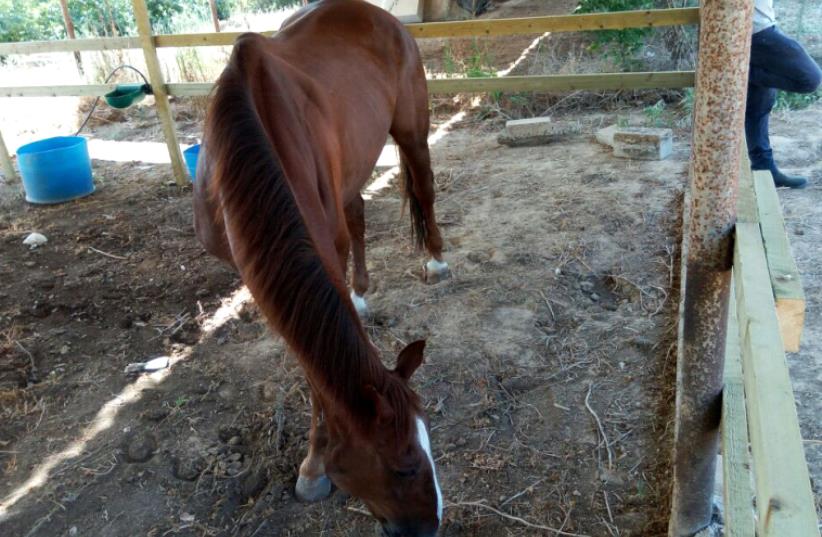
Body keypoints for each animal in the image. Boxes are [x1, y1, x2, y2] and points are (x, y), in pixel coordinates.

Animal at [192, 2, 450, 532]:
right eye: (405, 465)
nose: (429, 527)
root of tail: (379, 16)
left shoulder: (319, 245)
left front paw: (313, 466)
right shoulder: (251, 269)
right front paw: (314, 469)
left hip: (411, 130)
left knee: (424, 187)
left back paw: (436, 261)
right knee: (358, 213)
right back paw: (362, 293)